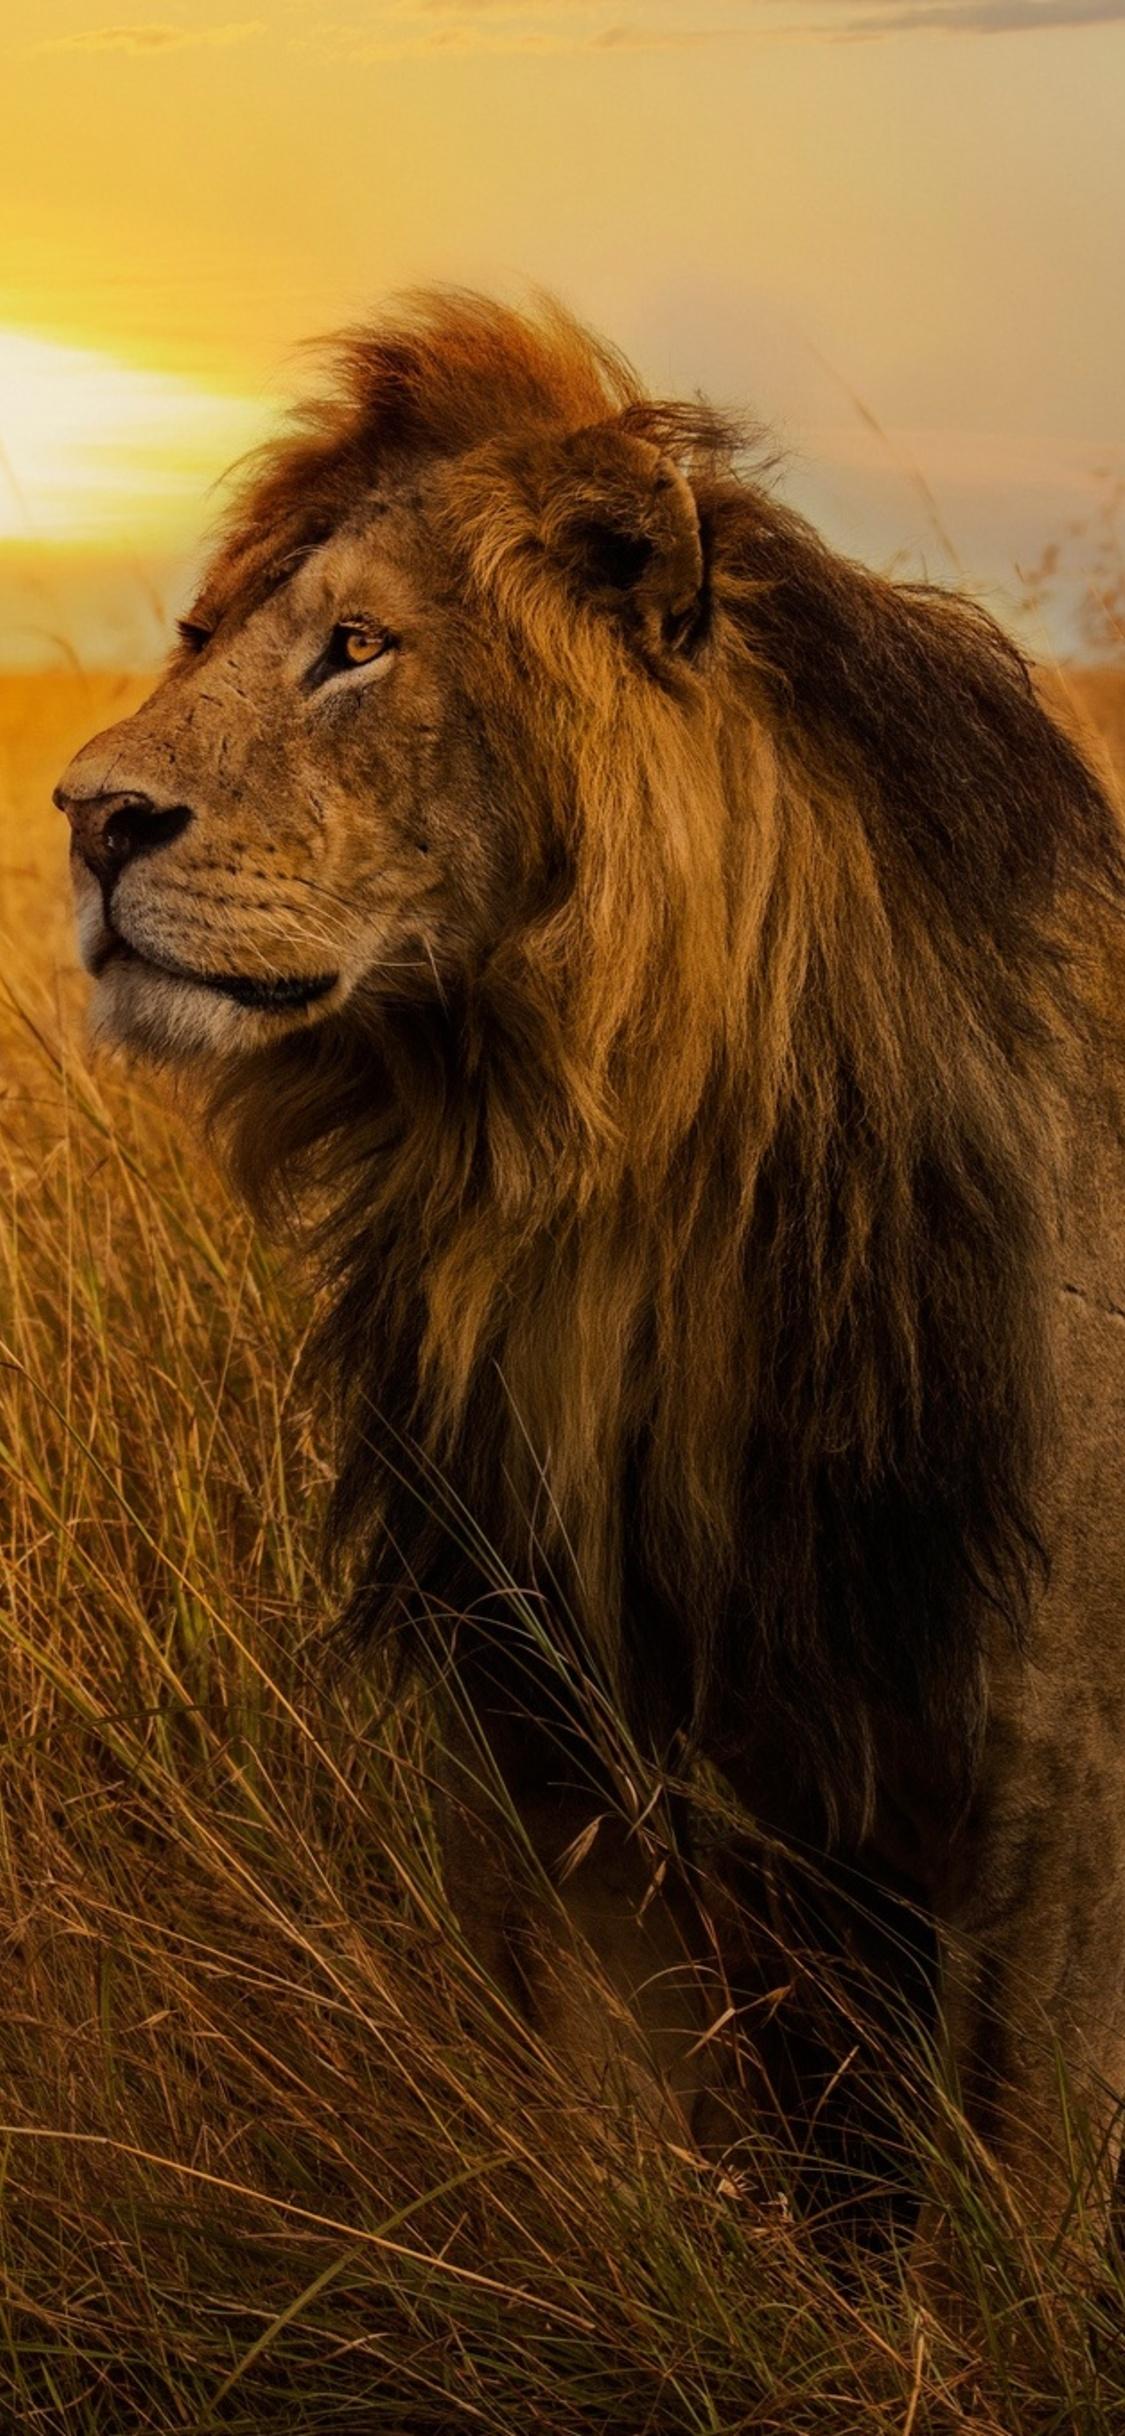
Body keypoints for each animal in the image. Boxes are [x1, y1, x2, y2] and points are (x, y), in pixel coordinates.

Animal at [54, 289, 1125, 2245]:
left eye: (356, 649)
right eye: (200, 638)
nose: (87, 820)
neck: (598, 1199)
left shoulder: (1052, 1759)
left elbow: (1025, 2184)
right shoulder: (540, 1702)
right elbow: (609, 2118)